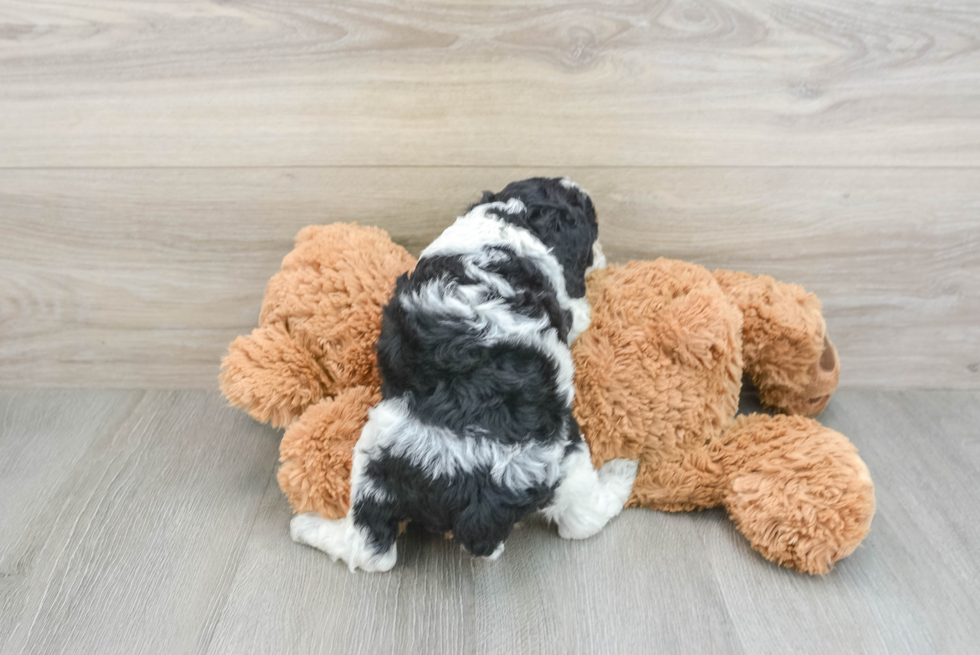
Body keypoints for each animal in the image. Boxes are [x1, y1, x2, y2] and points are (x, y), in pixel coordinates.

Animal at [290, 177, 636, 572]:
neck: (513, 220)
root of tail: (486, 491)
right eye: (592, 235)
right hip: (562, 458)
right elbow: (578, 313)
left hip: (385, 453)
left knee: (373, 548)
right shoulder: (567, 304)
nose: (603, 254)